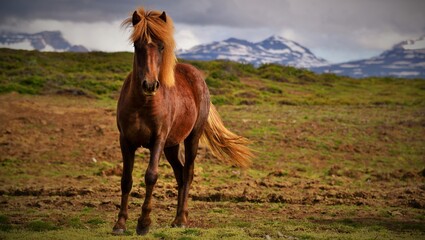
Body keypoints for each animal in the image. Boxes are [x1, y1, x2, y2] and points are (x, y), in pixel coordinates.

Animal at [112, 7, 252, 234]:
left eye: (161, 46)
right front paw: (120, 223)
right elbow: (126, 179)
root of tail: (197, 76)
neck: (143, 103)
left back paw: (181, 219)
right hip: (172, 145)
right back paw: (177, 217)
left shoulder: (158, 140)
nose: (149, 85)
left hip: (191, 138)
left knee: (188, 173)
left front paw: (144, 223)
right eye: (137, 45)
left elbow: (151, 176)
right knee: (179, 173)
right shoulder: (126, 141)